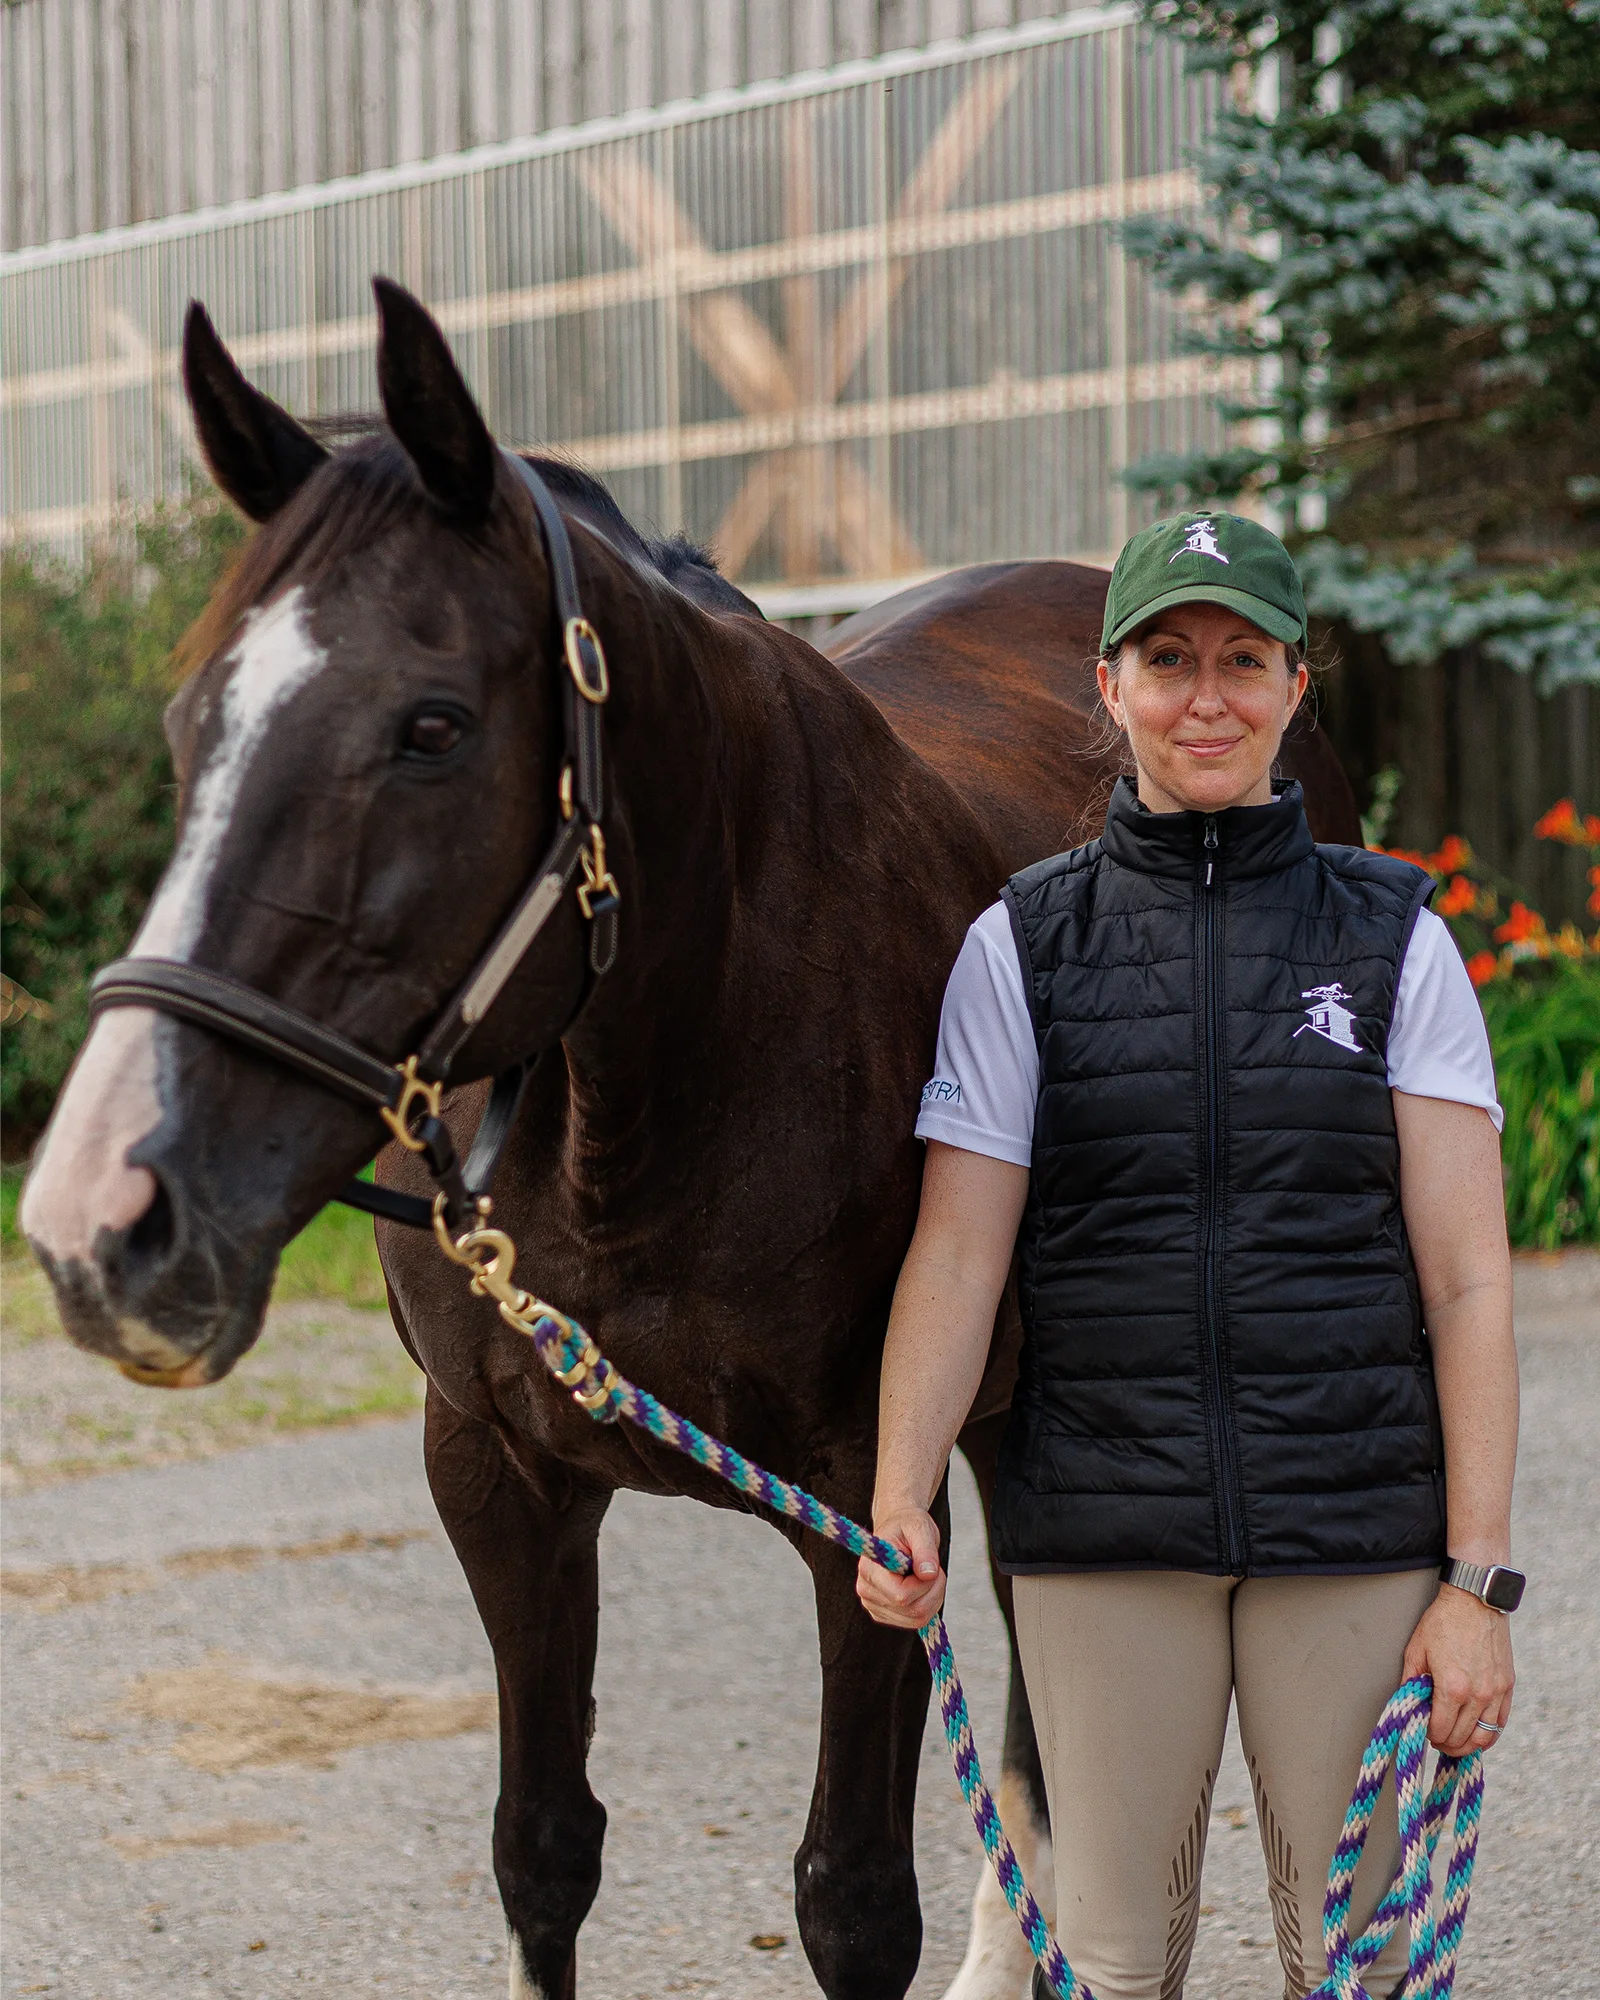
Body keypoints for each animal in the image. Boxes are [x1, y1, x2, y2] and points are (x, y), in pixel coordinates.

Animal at [21, 279, 1360, 2000]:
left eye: (431, 727)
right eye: (191, 725)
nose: (103, 1223)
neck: (649, 1100)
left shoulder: (870, 1509)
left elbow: (852, 1900)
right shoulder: (497, 1480)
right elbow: (541, 1854)